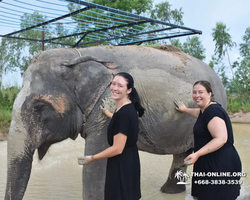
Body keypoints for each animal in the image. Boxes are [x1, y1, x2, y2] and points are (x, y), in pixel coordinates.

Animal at [4, 45, 227, 200]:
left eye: (38, 107)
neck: (77, 54)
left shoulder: (105, 106)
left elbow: (97, 160)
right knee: (182, 154)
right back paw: (169, 192)